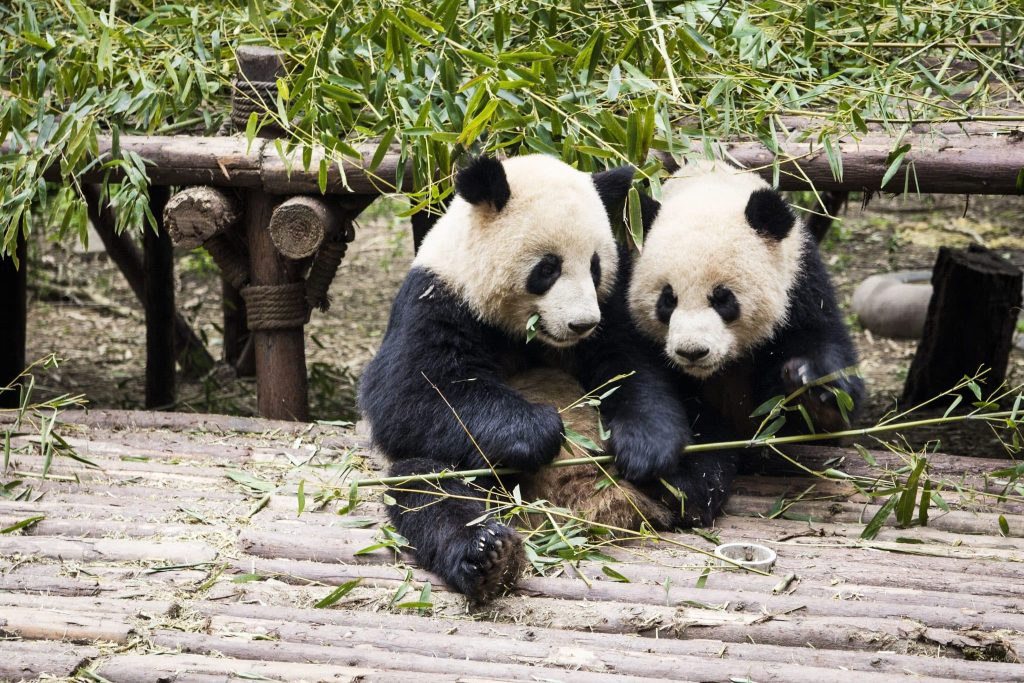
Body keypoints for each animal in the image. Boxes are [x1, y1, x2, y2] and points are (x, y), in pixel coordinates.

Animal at [358, 154, 689, 602]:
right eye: (548, 268)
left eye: (595, 266)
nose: (582, 323)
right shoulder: (437, 298)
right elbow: (408, 396)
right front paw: (540, 428)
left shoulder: (611, 306)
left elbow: (634, 366)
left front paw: (643, 447)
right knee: (427, 487)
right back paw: (488, 555)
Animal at [627, 161, 865, 525]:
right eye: (667, 300)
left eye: (723, 298)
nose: (692, 352)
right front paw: (691, 482)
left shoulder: (801, 283)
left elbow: (822, 346)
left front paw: (812, 391)